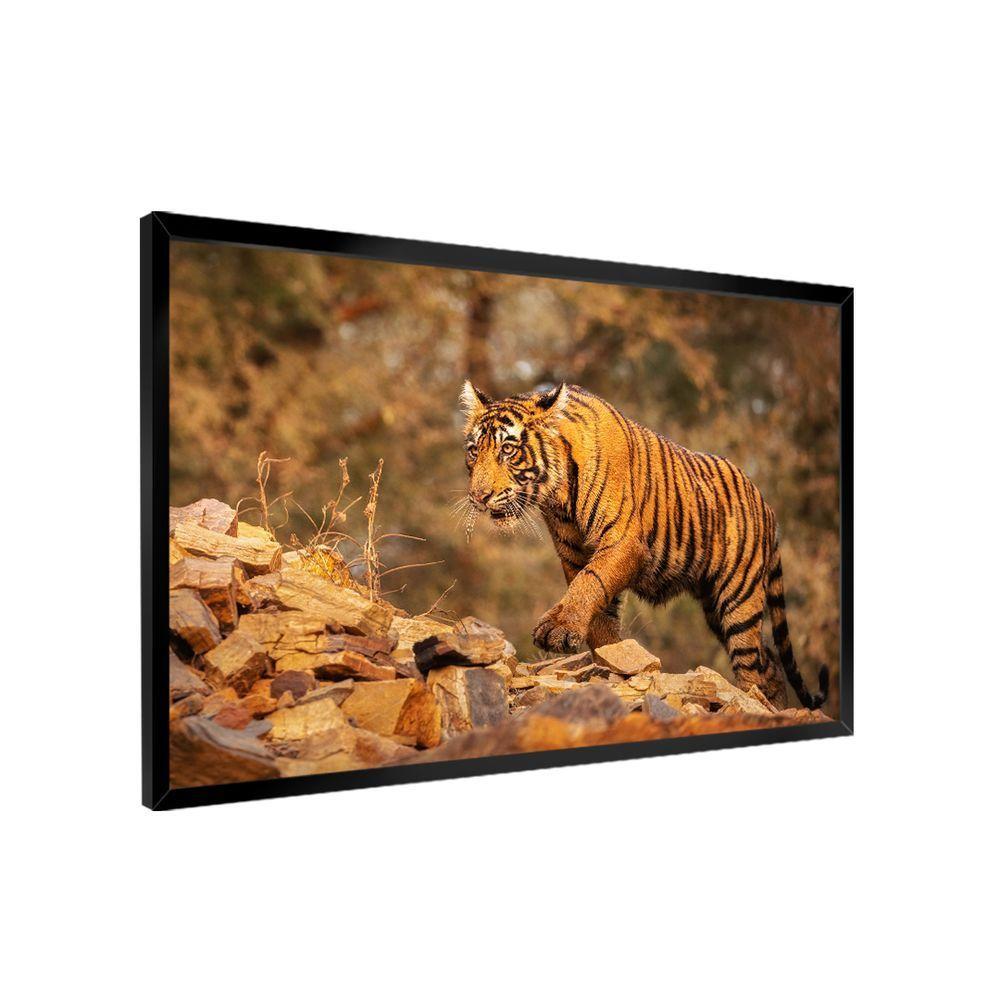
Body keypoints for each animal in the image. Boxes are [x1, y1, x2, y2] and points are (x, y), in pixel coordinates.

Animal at [460, 380, 828, 710]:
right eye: (474, 451)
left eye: (508, 450)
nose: (479, 496)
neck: (558, 496)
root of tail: (766, 505)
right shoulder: (572, 552)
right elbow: (597, 608)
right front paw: (610, 658)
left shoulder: (623, 541)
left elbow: (590, 582)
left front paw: (558, 629)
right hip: (715, 605)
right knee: (771, 664)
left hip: (738, 598)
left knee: (754, 664)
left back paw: (759, 705)